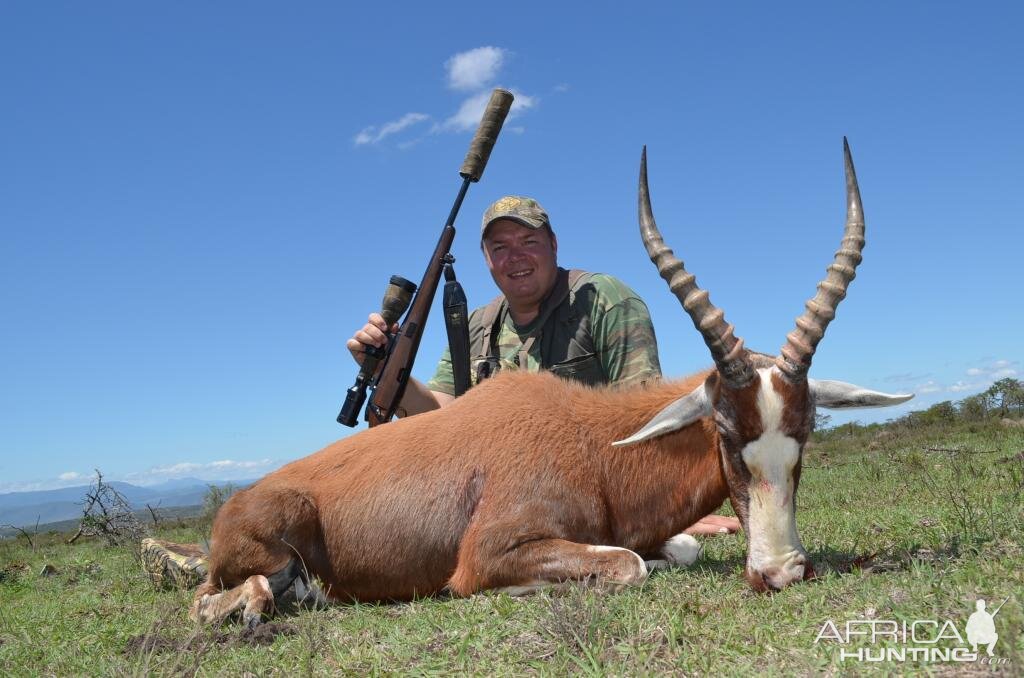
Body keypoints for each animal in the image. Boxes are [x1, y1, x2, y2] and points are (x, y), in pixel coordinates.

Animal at [192, 140, 913, 630]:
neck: (591, 442)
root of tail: (235, 505)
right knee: (230, 597)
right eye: (729, 435)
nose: (781, 573)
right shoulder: (492, 551)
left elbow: (670, 550)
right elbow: (625, 564)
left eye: (804, 438)